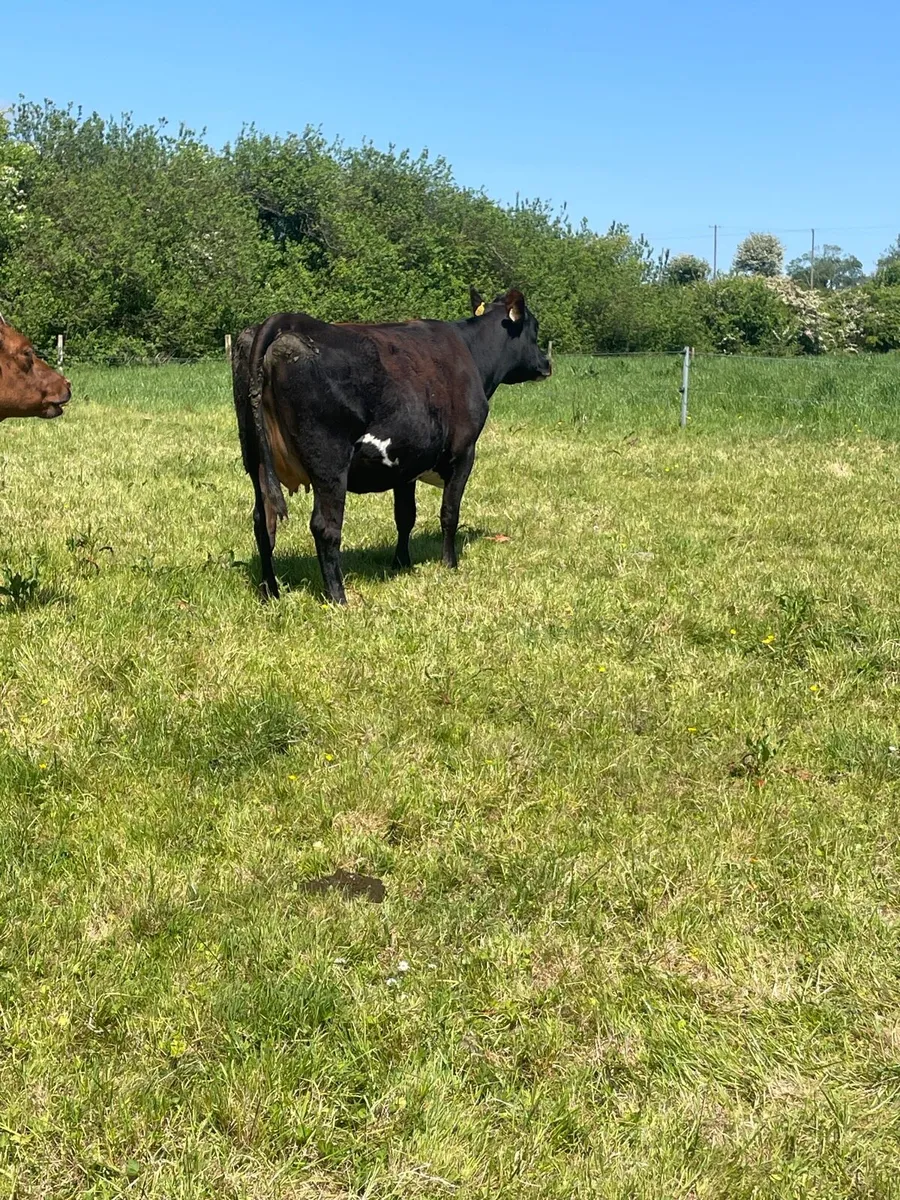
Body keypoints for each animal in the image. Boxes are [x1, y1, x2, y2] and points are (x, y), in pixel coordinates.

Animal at [232, 288, 551, 605]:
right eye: (535, 329)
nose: (547, 363)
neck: (471, 352)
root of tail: (289, 322)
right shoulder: (464, 451)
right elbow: (449, 512)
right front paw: (450, 564)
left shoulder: (406, 462)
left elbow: (405, 516)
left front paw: (401, 563)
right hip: (329, 461)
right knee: (325, 527)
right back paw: (338, 597)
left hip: (255, 459)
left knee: (263, 522)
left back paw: (270, 592)